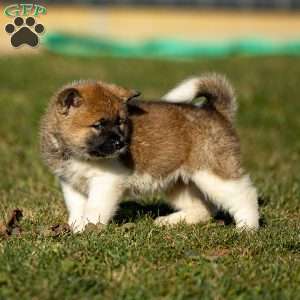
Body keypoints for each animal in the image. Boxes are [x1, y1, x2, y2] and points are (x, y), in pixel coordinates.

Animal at [40, 75, 260, 232]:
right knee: (204, 208)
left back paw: (247, 227)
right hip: (178, 183)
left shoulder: (106, 182)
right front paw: (76, 228)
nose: (121, 143)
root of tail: (215, 111)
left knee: (244, 195)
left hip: (212, 173)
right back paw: (172, 221)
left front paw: (89, 229)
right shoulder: (71, 184)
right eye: (99, 125)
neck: (79, 154)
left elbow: (94, 208)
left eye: (121, 122)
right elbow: (77, 208)